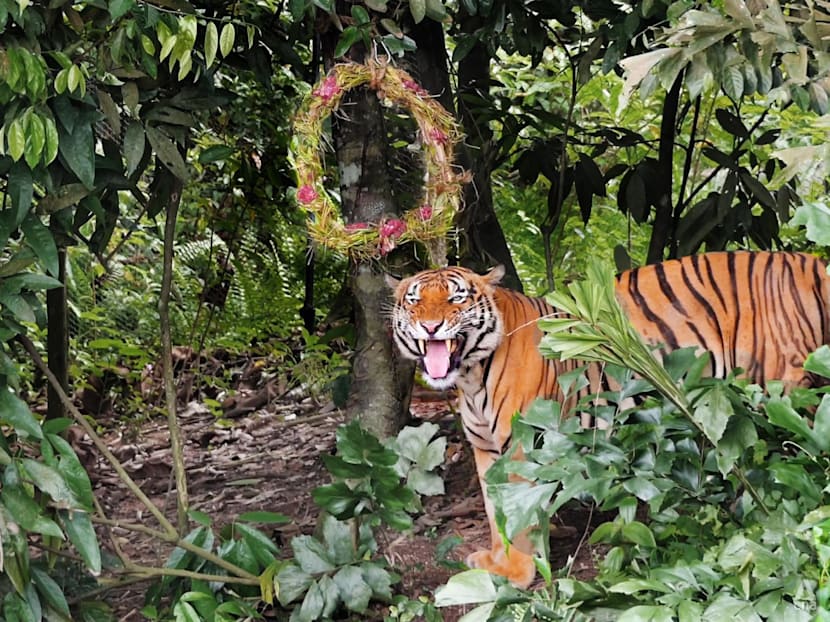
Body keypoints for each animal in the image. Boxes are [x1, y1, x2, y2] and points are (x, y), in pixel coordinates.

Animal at [385, 251, 830, 588]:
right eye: (414, 301)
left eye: (456, 300)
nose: (430, 326)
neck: (471, 376)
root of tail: (809, 260)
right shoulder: (485, 449)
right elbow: (497, 513)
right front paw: (498, 561)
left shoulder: (522, 446)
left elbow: (519, 513)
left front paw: (517, 573)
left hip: (785, 390)